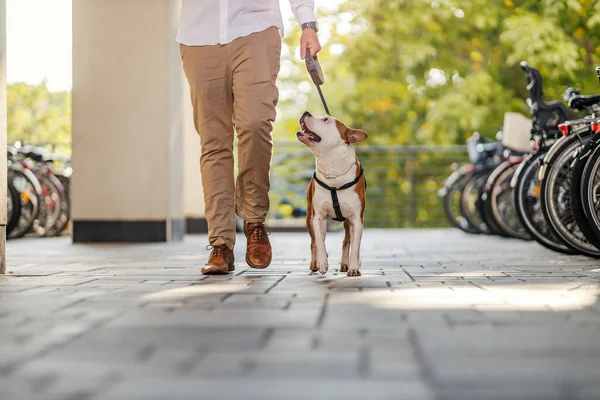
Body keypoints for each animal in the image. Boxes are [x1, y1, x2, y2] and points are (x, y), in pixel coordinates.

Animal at [298, 111, 368, 276]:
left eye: (325, 119)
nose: (305, 112)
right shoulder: (318, 217)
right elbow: (319, 242)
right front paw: (322, 262)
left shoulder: (357, 219)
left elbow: (355, 247)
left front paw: (354, 268)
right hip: (309, 218)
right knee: (313, 242)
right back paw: (315, 263)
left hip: (348, 222)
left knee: (346, 241)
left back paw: (345, 264)